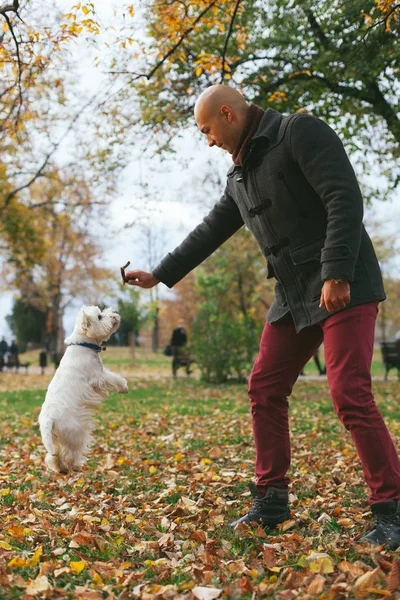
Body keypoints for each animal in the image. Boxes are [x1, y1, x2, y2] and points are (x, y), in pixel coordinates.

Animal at [38, 308, 127, 472]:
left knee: (53, 456)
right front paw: (124, 387)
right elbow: (113, 379)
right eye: (100, 317)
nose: (115, 312)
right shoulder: (98, 376)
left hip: (55, 438)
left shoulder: (100, 373)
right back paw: (76, 466)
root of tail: (48, 419)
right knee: (69, 453)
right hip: (75, 432)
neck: (83, 344)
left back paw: (60, 468)